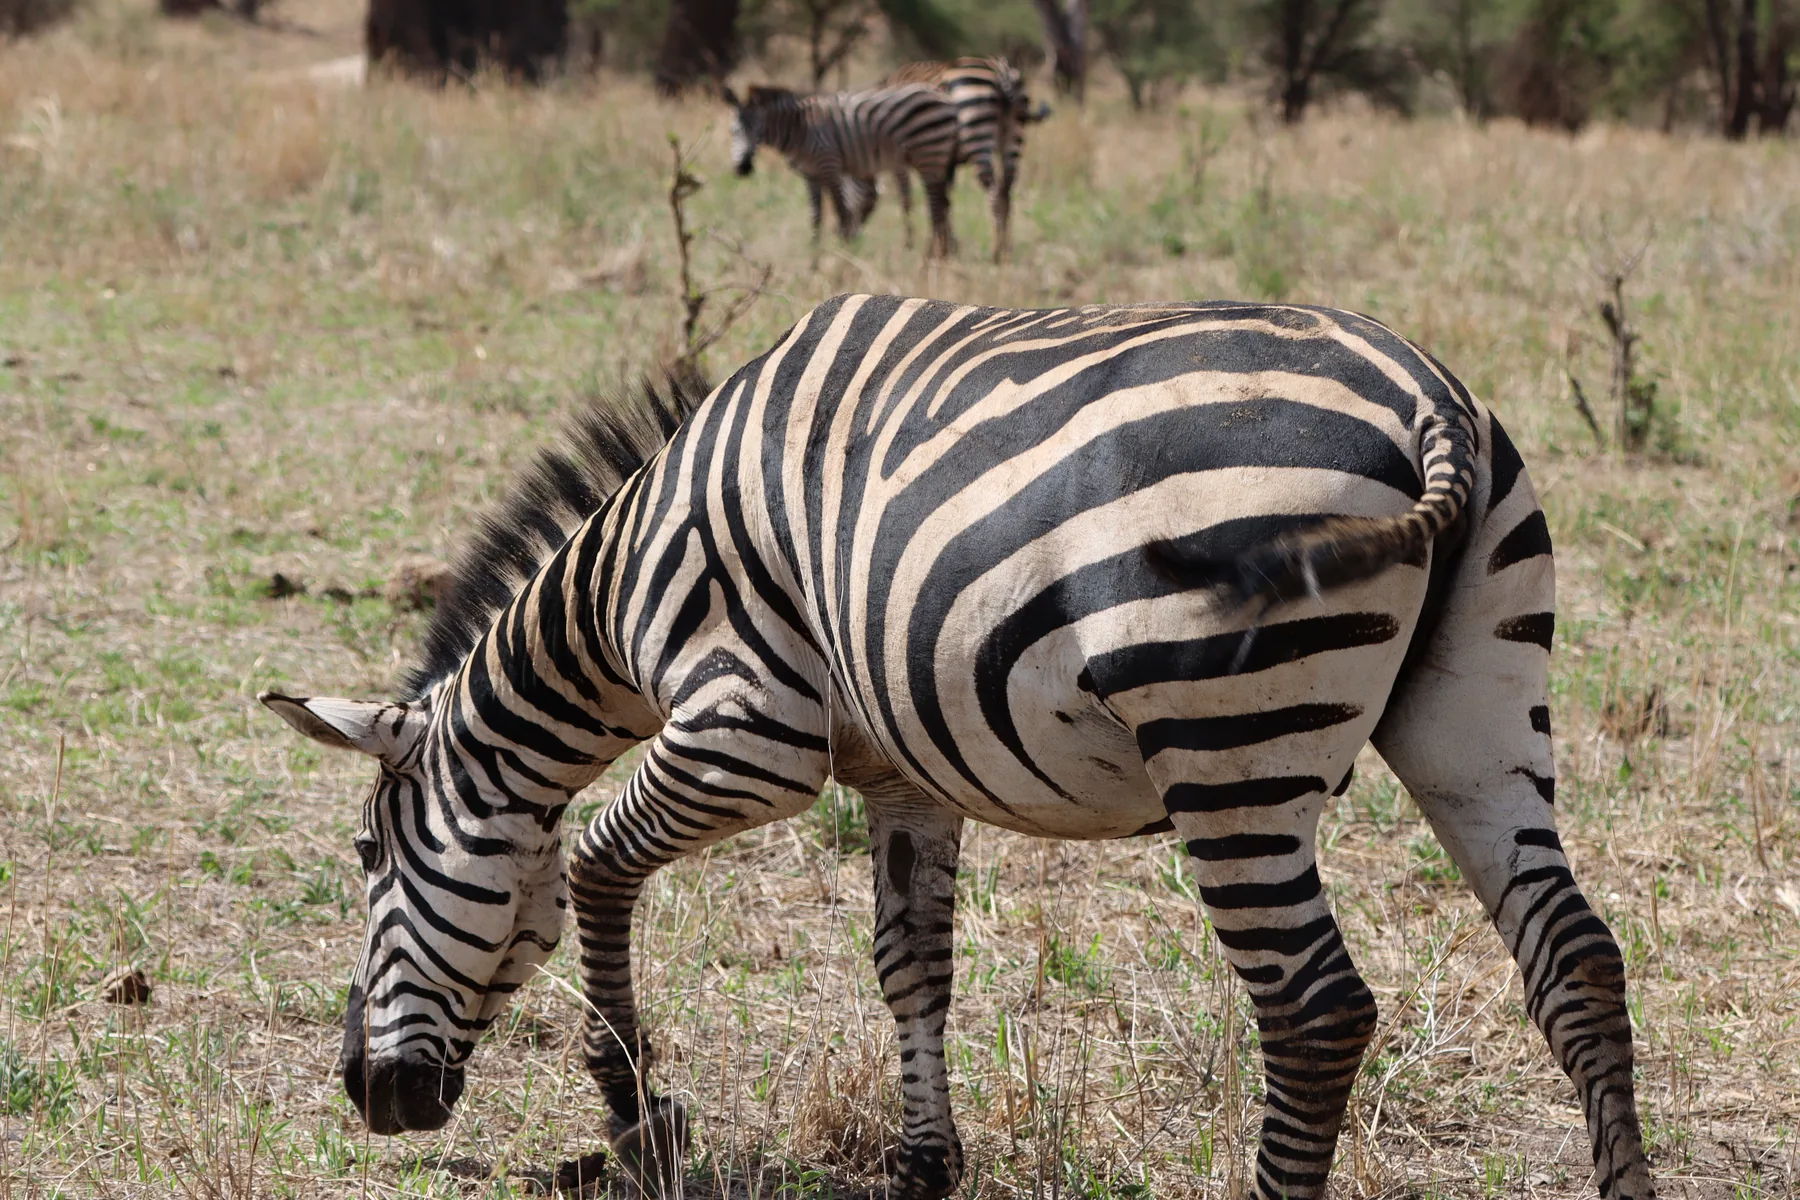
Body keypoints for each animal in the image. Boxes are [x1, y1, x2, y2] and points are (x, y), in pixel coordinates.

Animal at [263, 295, 1656, 1200]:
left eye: (368, 860)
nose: (364, 1097)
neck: (627, 573)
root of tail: (1427, 403)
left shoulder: (750, 724)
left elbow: (600, 864)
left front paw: (635, 1114)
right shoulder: (899, 772)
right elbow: (911, 964)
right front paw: (928, 1163)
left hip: (1231, 748)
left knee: (1314, 1010)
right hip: (1479, 708)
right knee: (1576, 957)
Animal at [724, 83, 960, 258]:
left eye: (759, 130)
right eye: (733, 131)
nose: (743, 168)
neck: (799, 128)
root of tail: (941, 95)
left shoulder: (829, 165)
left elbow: (842, 215)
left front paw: (844, 256)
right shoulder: (811, 176)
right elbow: (816, 219)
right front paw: (814, 260)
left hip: (929, 154)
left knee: (935, 210)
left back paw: (930, 258)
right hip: (933, 158)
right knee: (942, 205)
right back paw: (941, 254)